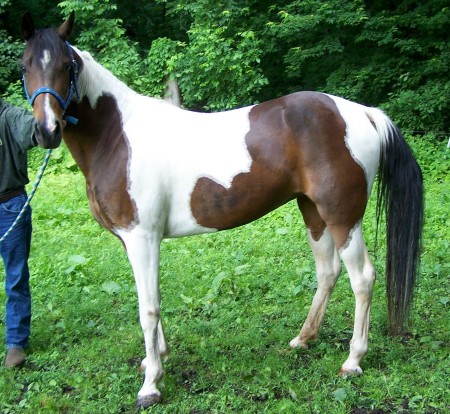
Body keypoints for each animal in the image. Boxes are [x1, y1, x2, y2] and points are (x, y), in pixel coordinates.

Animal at [20, 12, 422, 408]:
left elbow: (147, 309)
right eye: (25, 66)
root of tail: (364, 113)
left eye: (66, 65)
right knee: (328, 272)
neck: (118, 137)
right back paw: (303, 339)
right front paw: (157, 358)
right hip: (313, 212)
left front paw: (151, 386)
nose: (46, 131)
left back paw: (353, 360)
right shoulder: (133, 241)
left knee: (362, 278)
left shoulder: (142, 238)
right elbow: (151, 300)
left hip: (342, 217)